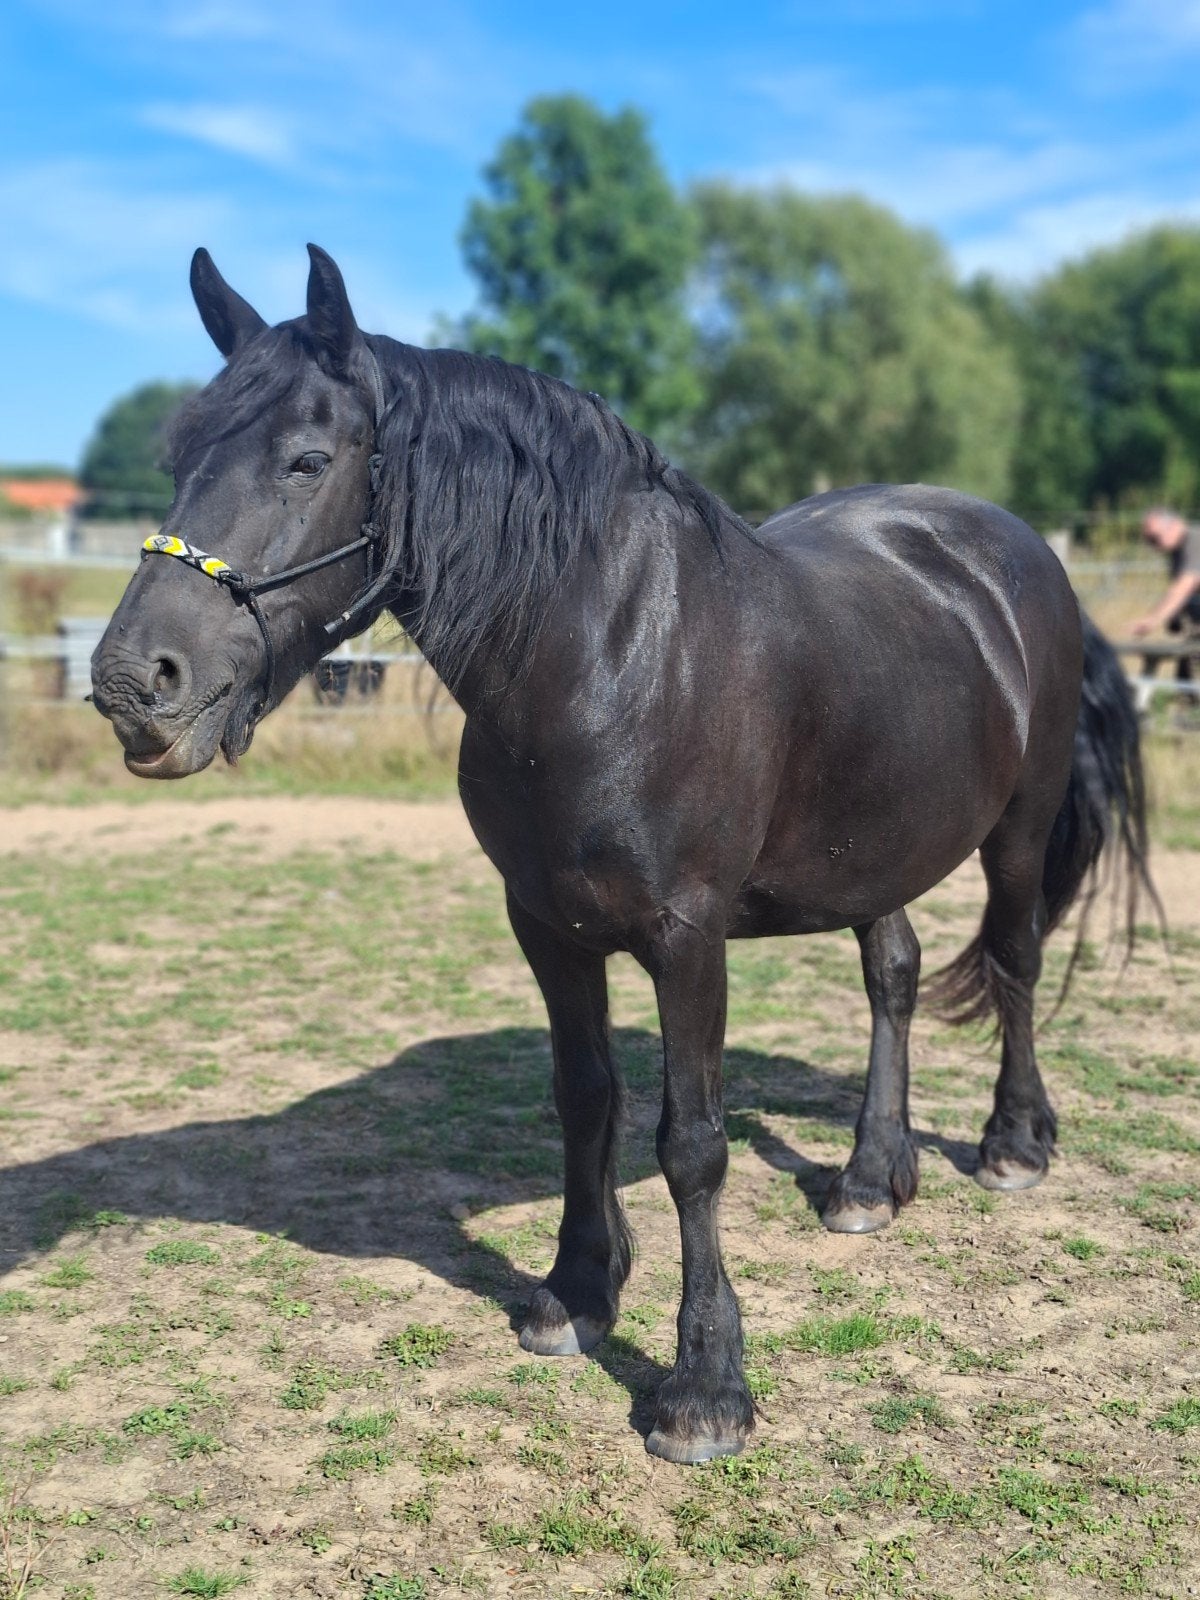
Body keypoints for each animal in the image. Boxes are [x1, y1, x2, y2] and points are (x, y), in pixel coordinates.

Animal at [91, 245, 1153, 1465]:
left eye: (307, 460)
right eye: (178, 457)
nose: (133, 681)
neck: (601, 655)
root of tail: (1021, 552)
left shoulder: (688, 939)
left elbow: (691, 1144)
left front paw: (706, 1386)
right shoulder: (546, 925)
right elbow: (584, 1097)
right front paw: (579, 1289)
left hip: (1017, 829)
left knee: (1016, 961)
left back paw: (1015, 1144)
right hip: (878, 842)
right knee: (894, 971)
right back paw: (870, 1179)